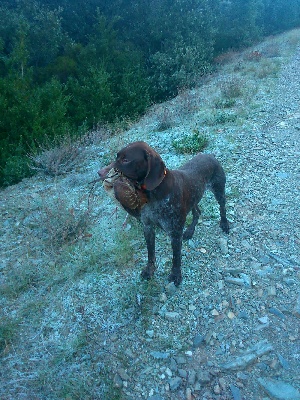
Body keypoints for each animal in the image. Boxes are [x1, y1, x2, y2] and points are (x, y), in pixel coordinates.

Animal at [97, 141, 229, 284]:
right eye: (117, 157)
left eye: (126, 160)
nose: (100, 173)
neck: (153, 194)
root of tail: (210, 155)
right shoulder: (148, 227)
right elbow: (150, 253)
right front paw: (149, 271)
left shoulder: (175, 233)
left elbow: (176, 257)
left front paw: (176, 275)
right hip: (194, 197)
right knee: (197, 212)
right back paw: (190, 231)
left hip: (218, 190)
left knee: (222, 208)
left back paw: (224, 224)